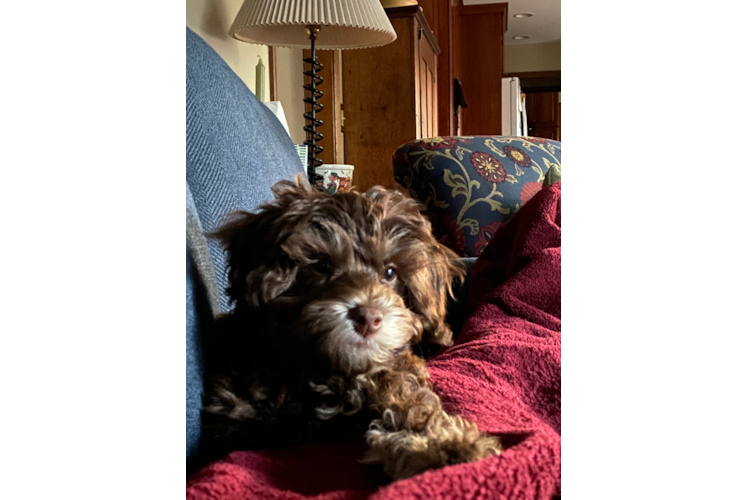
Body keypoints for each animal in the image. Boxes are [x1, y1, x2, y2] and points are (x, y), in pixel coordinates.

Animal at [202, 174, 500, 478]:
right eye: (322, 266)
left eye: (390, 272)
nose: (368, 317)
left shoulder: (393, 373)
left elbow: (408, 400)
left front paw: (442, 443)